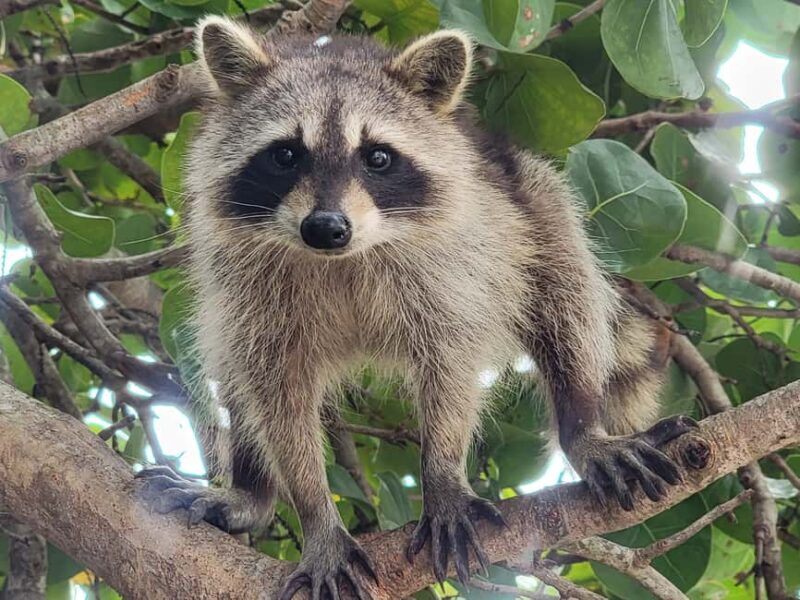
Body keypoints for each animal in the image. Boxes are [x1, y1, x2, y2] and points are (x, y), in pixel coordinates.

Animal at [137, 16, 697, 599]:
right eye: (286, 154)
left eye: (377, 157)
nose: (326, 227)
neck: (344, 257)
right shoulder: (248, 285)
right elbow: (276, 392)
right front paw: (316, 514)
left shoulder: (452, 268)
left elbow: (450, 364)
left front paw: (444, 475)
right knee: (233, 367)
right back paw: (252, 492)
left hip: (535, 202)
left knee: (568, 303)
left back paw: (582, 426)